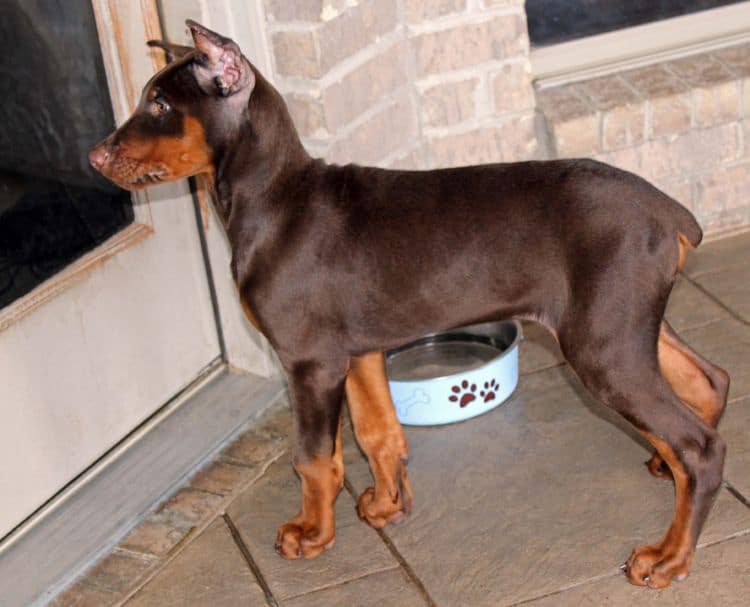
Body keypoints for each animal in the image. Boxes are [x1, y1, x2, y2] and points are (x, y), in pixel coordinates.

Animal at [91, 22, 732, 588]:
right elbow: (377, 432)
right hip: (621, 325)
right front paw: (386, 504)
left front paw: (311, 533)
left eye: (158, 105)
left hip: (600, 345)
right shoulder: (358, 352)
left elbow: (313, 456)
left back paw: (668, 557)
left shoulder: (309, 361)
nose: (96, 157)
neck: (275, 199)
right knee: (709, 382)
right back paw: (666, 471)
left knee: (700, 445)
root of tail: (670, 212)